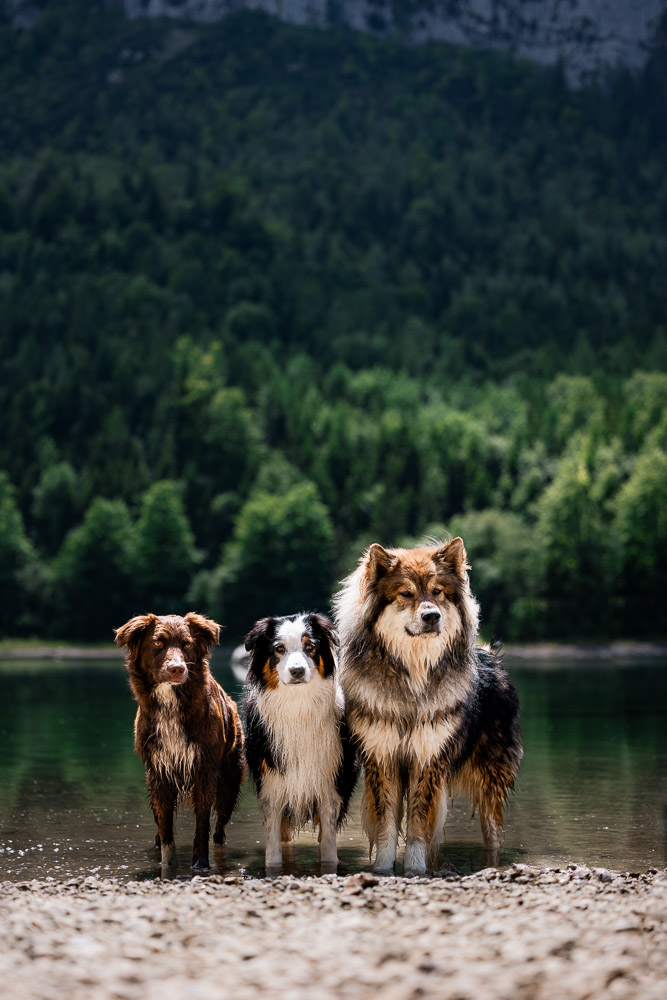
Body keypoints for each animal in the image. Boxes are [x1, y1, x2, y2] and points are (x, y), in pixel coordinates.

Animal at [115, 608, 245, 868]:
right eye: (157, 643)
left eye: (187, 644)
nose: (177, 668)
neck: (171, 704)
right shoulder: (159, 771)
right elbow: (165, 824)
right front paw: (167, 864)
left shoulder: (204, 768)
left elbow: (202, 820)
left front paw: (200, 863)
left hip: (229, 783)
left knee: (219, 829)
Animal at [244, 608, 360, 868]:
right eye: (279, 648)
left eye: (310, 647)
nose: (297, 671)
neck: (298, 707)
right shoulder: (273, 786)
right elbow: (274, 848)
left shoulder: (330, 785)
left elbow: (327, 844)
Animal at [334, 540, 520, 876]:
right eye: (406, 594)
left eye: (437, 592)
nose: (432, 616)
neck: (414, 677)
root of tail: (490, 653)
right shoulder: (383, 758)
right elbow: (387, 824)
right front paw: (383, 869)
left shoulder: (428, 758)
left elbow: (419, 822)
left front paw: (415, 868)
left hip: (491, 776)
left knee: (492, 829)